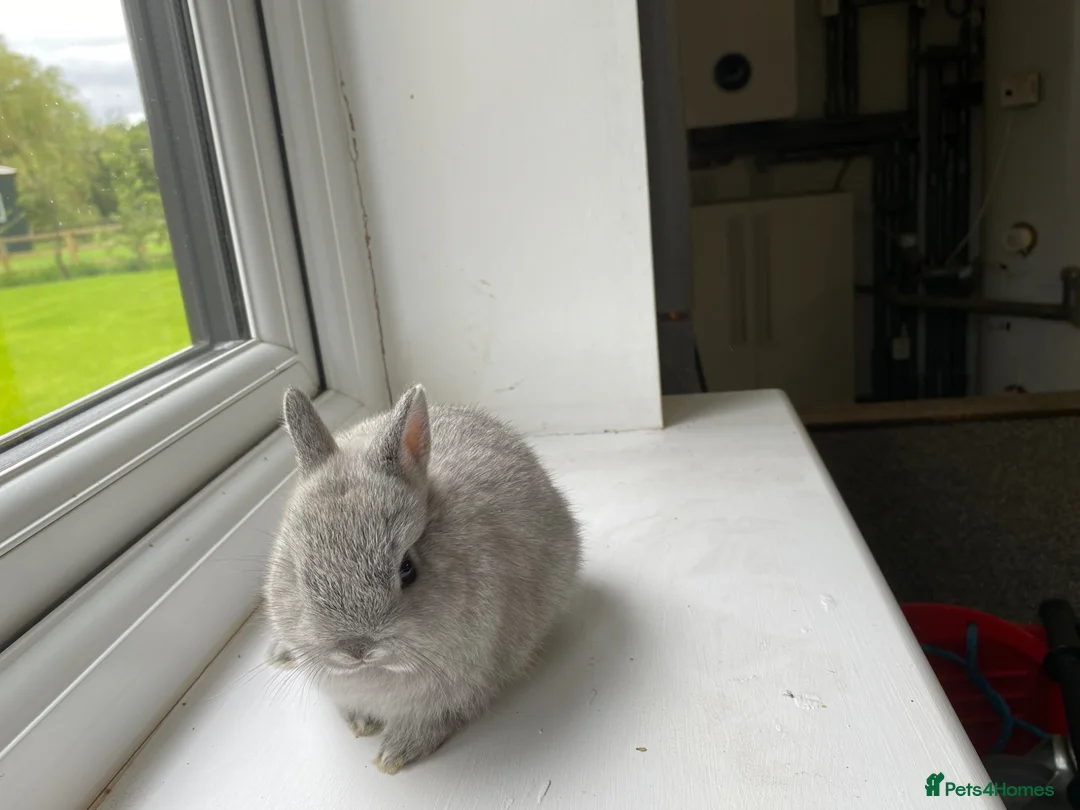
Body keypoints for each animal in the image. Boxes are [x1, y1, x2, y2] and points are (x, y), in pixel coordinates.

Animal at [262, 383, 583, 774]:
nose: (357, 649)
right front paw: (360, 723)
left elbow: (434, 719)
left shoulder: (464, 684)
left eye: (407, 568)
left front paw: (393, 755)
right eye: (298, 571)